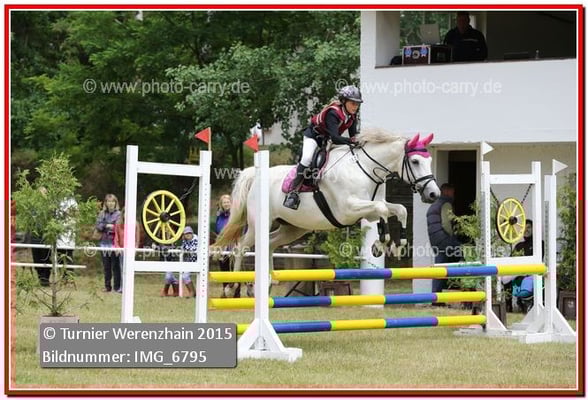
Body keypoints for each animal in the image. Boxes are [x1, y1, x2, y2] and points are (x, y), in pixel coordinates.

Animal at [215, 129, 440, 297]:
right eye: (415, 162)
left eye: (429, 161)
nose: (433, 194)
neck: (366, 168)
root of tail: (255, 176)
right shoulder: (348, 209)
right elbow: (382, 210)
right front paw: (380, 243)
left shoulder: (370, 206)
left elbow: (397, 209)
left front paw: (396, 245)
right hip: (257, 225)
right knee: (241, 247)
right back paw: (234, 286)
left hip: (293, 228)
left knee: (269, 243)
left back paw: (268, 281)